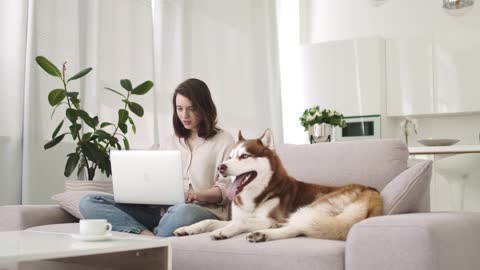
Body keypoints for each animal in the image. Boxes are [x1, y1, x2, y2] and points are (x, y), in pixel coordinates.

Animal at [174, 129, 384, 243]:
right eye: (231, 156)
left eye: (244, 156)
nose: (221, 167)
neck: (259, 193)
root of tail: (370, 190)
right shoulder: (240, 216)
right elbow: (209, 221)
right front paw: (189, 228)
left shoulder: (268, 218)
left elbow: (239, 223)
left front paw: (222, 231)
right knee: (300, 228)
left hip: (315, 206)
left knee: (297, 225)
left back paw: (263, 234)